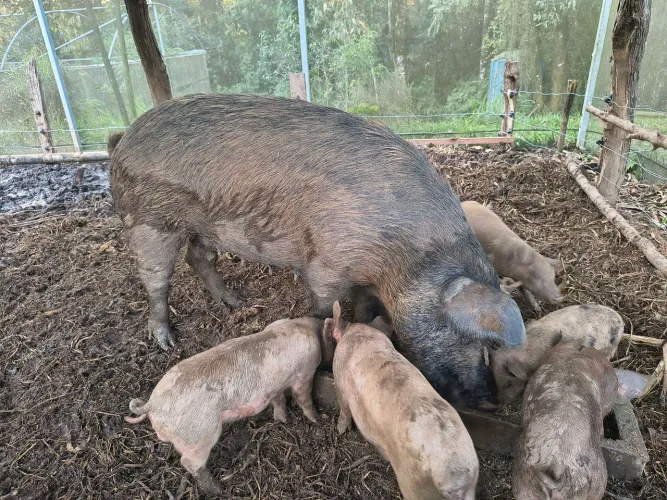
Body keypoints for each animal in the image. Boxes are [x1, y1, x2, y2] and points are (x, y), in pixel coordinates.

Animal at [109, 93, 525, 409]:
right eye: (472, 339)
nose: (490, 400)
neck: (402, 256)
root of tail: (124, 137)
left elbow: (366, 306)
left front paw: (367, 321)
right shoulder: (327, 265)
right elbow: (325, 307)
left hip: (204, 227)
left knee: (197, 258)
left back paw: (237, 303)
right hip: (148, 220)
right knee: (157, 278)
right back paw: (166, 341)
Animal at [124, 316, 334, 496]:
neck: (306, 326)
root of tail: (152, 404)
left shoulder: (274, 386)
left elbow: (278, 399)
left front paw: (282, 420)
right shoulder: (305, 369)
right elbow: (303, 396)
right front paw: (317, 419)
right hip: (199, 435)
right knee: (189, 462)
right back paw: (218, 489)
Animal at [330, 302, 479, 500]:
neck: (359, 335)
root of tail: (455, 481)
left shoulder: (339, 375)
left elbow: (344, 407)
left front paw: (340, 430)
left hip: (413, 483)